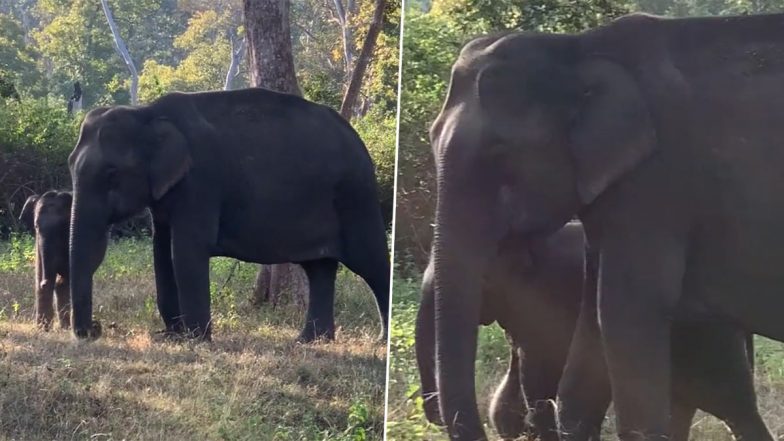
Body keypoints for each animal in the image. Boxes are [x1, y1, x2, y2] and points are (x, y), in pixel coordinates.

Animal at [66, 87, 388, 338]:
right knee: (319, 269)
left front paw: (195, 339)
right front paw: (171, 335)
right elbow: (161, 252)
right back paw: (310, 341)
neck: (147, 113)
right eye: (70, 164)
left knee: (371, 263)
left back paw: (382, 341)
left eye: (112, 174)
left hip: (355, 196)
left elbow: (185, 251)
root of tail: (357, 138)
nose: (95, 329)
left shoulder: (201, 182)